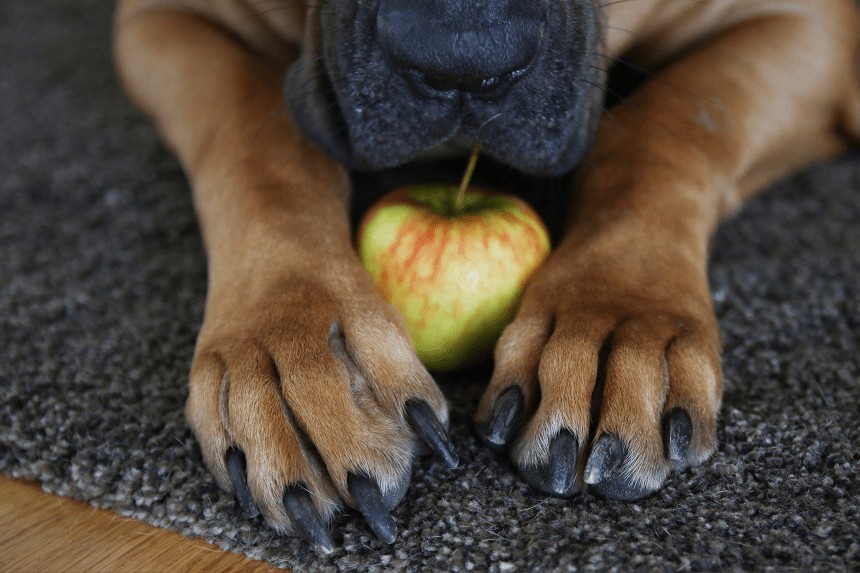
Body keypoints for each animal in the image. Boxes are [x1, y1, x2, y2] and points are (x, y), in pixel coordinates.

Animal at [112, 0, 860, 552]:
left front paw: (617, 321)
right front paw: (289, 352)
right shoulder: (160, 20)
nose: (462, 60)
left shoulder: (811, 31)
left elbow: (663, 127)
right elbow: (262, 146)